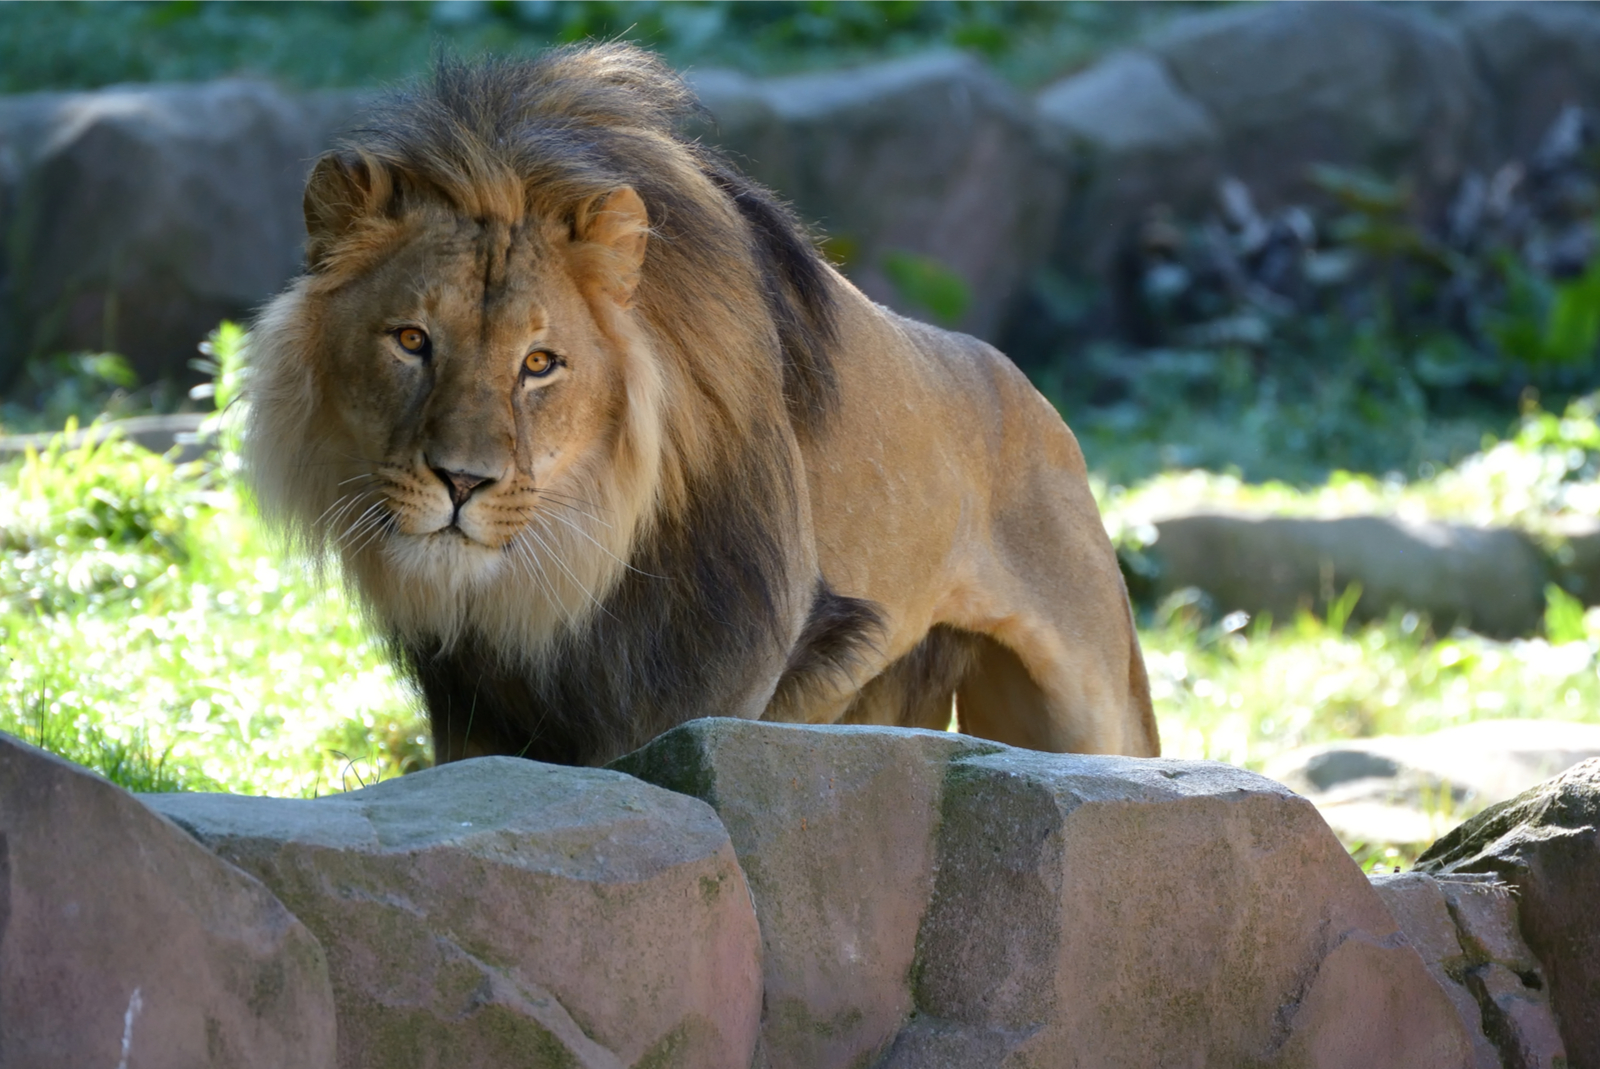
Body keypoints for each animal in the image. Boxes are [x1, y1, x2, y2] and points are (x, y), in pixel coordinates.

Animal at [243, 46, 1158, 764]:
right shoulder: (472, 704)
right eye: (411, 340)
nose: (462, 482)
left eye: (539, 364)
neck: (567, 574)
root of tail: (1026, 390)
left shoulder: (728, 670)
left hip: (1096, 704)